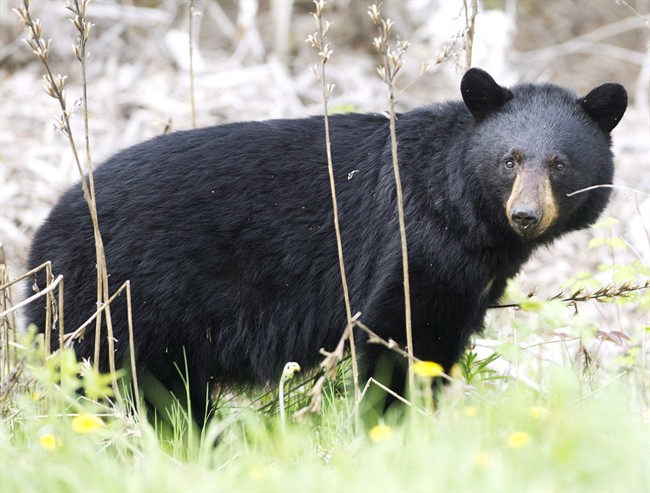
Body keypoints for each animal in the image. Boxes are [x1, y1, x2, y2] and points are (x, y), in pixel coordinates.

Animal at [26, 68, 627, 423]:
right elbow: (403, 331)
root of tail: (41, 240)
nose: (525, 216)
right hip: (118, 297)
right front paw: (391, 422)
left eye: (559, 164)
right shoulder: (415, 238)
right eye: (510, 161)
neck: (469, 216)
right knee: (112, 379)